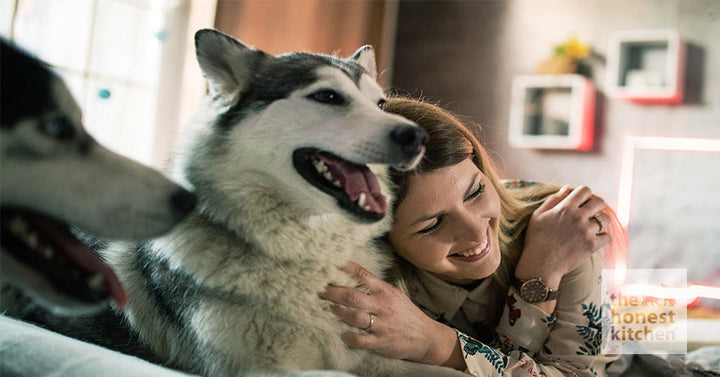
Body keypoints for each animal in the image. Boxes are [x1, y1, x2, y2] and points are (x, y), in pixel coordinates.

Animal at [101, 30, 470, 376]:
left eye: (380, 104)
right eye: (327, 96)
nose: (417, 137)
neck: (308, 254)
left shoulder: (377, 359)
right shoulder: (256, 368)